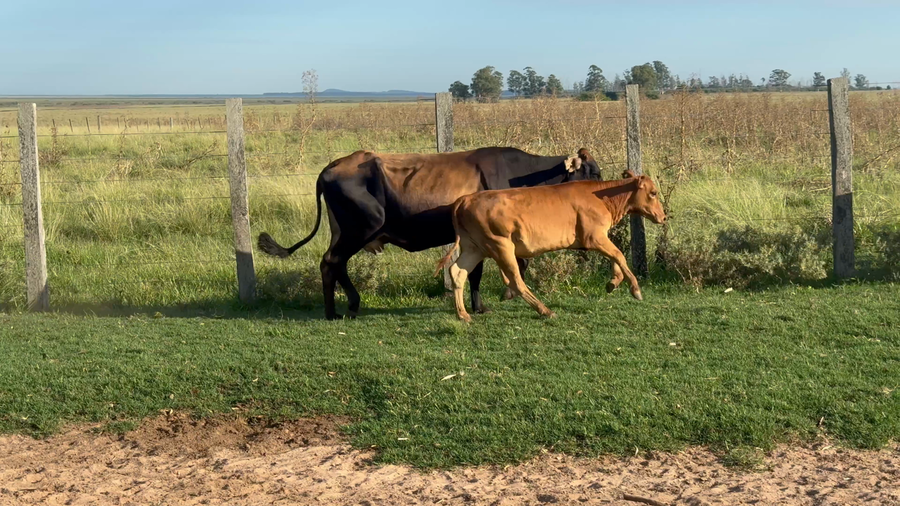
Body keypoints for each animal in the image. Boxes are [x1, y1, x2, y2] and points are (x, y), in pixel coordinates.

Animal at [257, 147, 603, 320]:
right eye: (594, 172)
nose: (600, 192)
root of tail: (334, 165)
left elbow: (476, 273)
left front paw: (479, 305)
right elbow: (509, 266)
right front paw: (498, 298)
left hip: (344, 231)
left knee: (336, 263)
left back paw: (351, 304)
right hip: (362, 227)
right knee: (330, 262)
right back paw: (334, 311)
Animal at [435, 170, 666, 322]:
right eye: (653, 193)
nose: (663, 217)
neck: (602, 197)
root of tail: (465, 199)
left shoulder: (599, 238)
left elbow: (615, 257)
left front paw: (613, 282)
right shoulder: (593, 237)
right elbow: (619, 255)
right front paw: (635, 288)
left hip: (475, 248)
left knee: (457, 272)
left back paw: (463, 314)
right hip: (500, 246)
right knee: (515, 280)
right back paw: (544, 310)